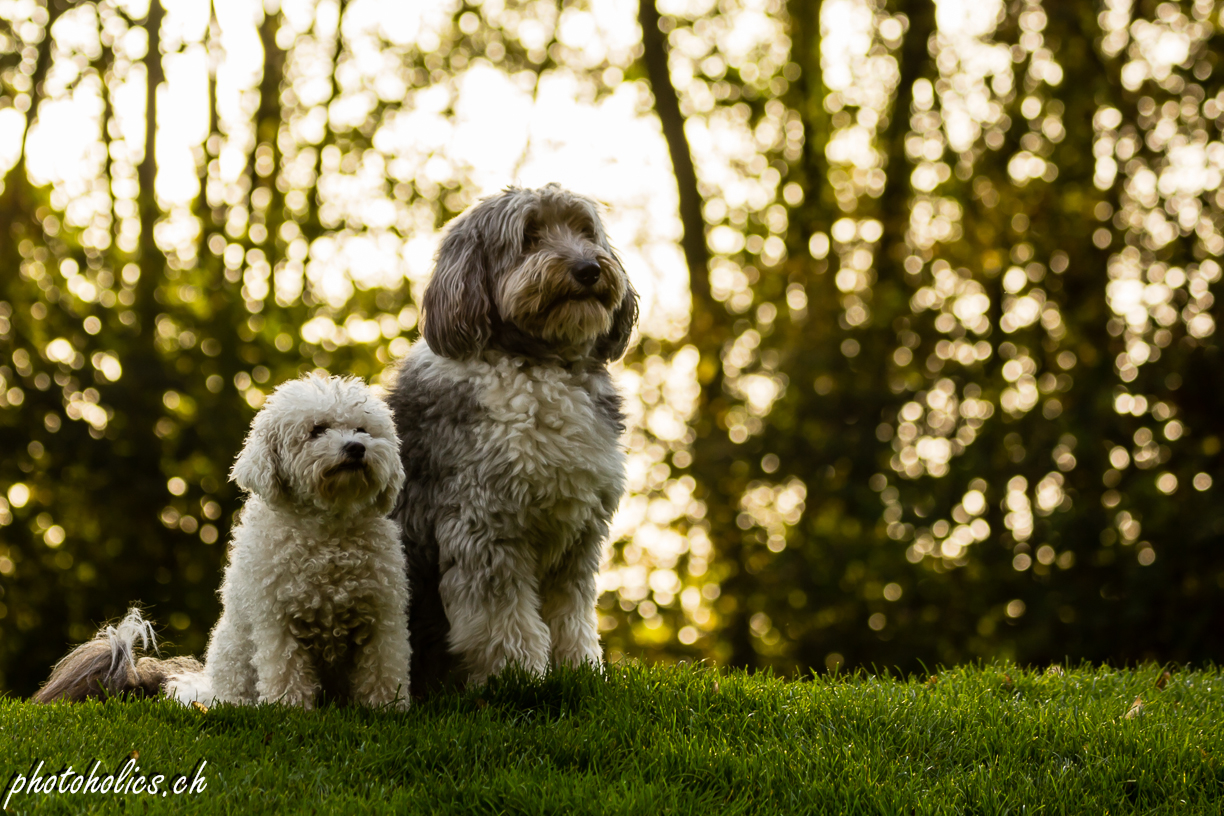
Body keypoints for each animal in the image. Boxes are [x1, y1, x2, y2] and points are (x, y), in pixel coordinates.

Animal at [33, 374, 413, 709]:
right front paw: (289, 708)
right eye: (317, 430)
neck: (327, 530)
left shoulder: (382, 617)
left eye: (363, 430)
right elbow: (285, 669)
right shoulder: (277, 620)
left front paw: (386, 709)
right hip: (234, 655)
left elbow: (384, 668)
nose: (357, 447)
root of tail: (206, 689)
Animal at [391, 182, 641, 694]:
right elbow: (501, 616)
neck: (539, 363)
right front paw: (518, 676)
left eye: (585, 231)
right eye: (529, 236)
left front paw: (578, 669)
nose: (589, 269)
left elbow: (570, 614)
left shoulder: (578, 536)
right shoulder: (485, 522)